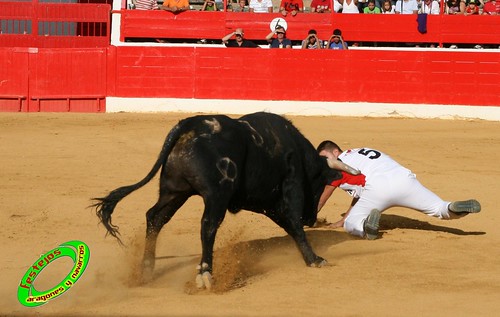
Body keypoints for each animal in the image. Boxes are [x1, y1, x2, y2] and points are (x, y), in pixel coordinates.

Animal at [93, 111, 344, 288]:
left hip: (174, 191)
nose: (310, 218)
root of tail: (189, 124)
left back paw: (146, 270)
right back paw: (205, 274)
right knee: (208, 226)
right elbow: (294, 224)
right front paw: (315, 259)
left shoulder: (267, 204)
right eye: (321, 183)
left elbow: (290, 227)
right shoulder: (289, 189)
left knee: (155, 217)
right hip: (216, 196)